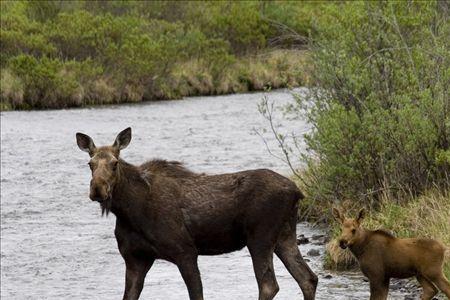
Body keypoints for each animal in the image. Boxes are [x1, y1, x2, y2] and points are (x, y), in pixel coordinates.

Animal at [76, 127, 316, 300]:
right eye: (90, 163)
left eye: (115, 163)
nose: (97, 189)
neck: (128, 211)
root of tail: (297, 191)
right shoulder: (135, 259)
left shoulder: (186, 251)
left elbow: (197, 294)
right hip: (284, 235)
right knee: (308, 279)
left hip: (260, 238)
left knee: (269, 286)